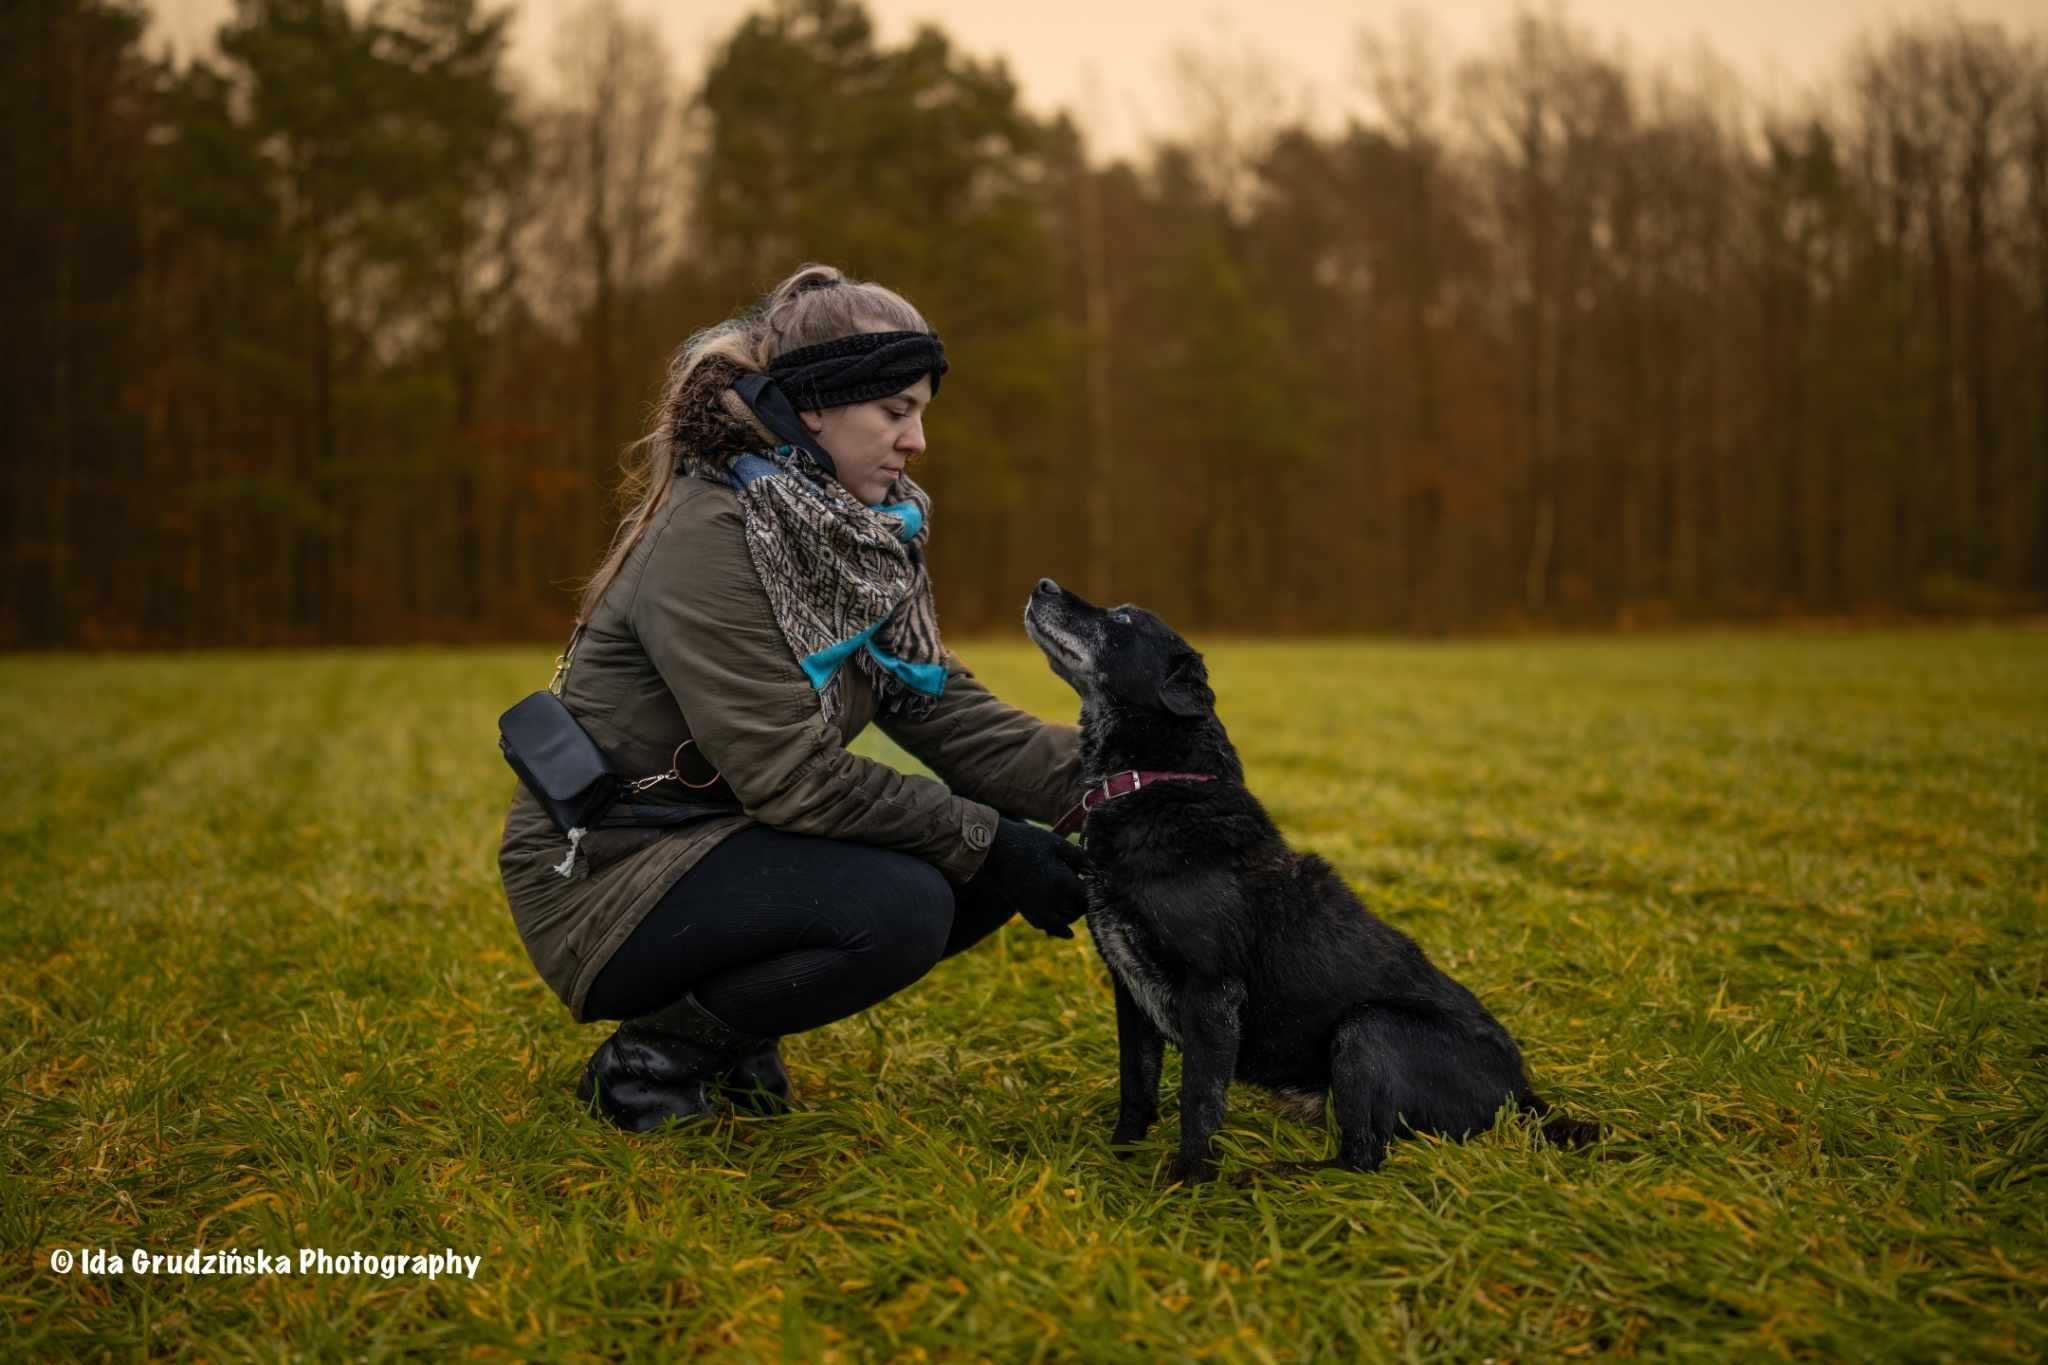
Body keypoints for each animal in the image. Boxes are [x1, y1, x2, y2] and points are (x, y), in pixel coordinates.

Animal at [1024, 581, 1597, 1186]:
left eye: (1125, 619)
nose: (1044, 585)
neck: (1155, 782)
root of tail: (1525, 1096)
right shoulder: (1130, 989)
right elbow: (1136, 1087)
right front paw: (1117, 1160)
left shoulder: (1212, 993)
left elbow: (1197, 1103)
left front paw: (1187, 1185)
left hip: (1368, 1028)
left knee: (1363, 1157)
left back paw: (1272, 1174)